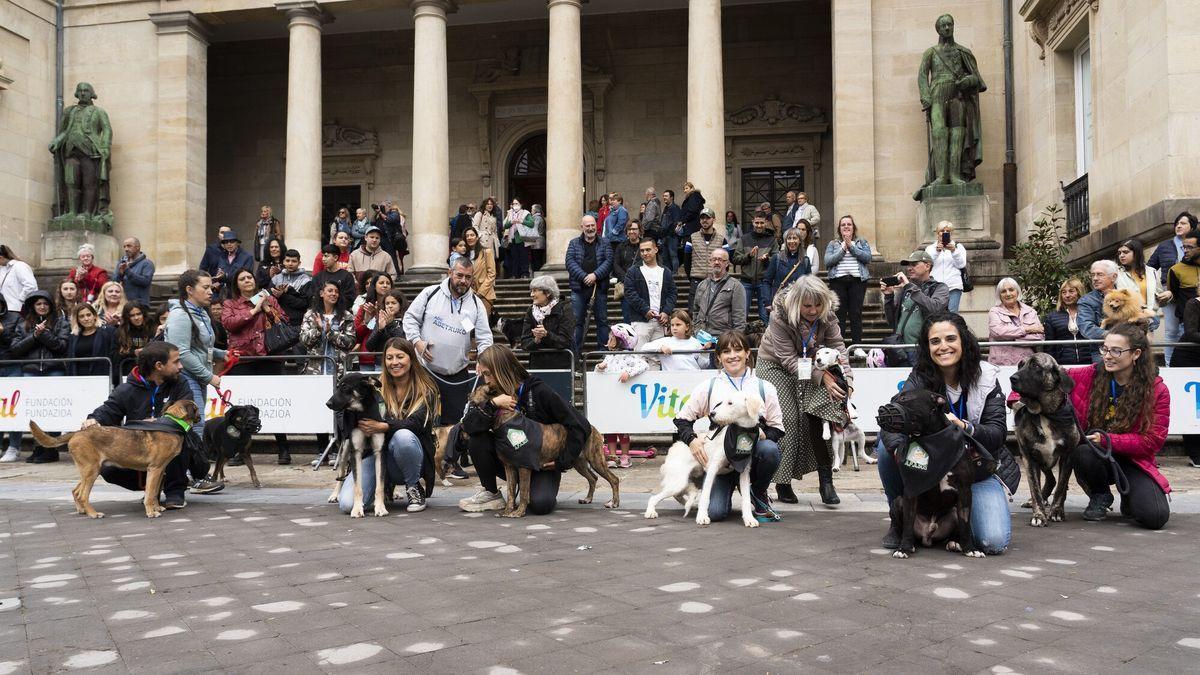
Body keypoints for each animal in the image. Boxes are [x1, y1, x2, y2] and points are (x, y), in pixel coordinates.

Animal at [27, 396, 201, 516]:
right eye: (196, 408)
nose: (201, 417)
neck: (173, 423)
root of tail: (77, 433)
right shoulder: (155, 470)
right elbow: (150, 494)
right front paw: (151, 512)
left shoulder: (160, 472)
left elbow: (154, 494)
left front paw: (157, 507)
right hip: (91, 470)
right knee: (83, 495)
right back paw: (93, 514)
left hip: (88, 471)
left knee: (76, 491)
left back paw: (82, 511)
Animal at [1008, 353, 1084, 526]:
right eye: (1019, 365)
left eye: (1035, 365)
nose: (1012, 378)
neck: (1045, 413)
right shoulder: (1030, 458)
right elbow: (1034, 488)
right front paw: (1038, 515)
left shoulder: (1067, 456)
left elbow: (1061, 486)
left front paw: (1056, 511)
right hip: (1042, 459)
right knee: (1049, 480)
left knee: (1055, 481)